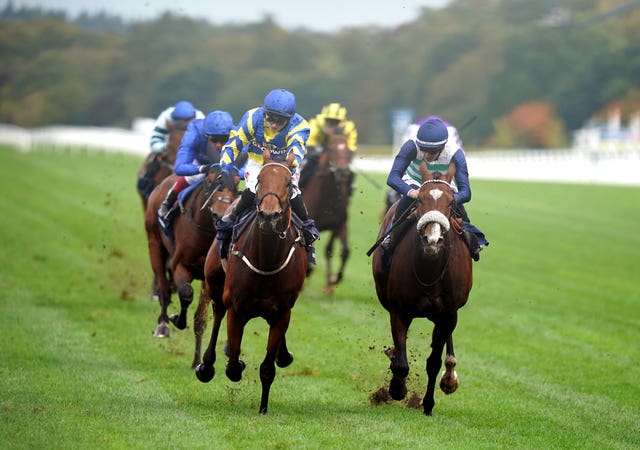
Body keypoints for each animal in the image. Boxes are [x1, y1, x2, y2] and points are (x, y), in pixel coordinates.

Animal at [144, 167, 240, 368]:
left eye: (236, 183)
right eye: (210, 181)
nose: (221, 213)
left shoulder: (209, 277)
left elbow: (201, 317)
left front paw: (197, 361)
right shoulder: (180, 265)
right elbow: (186, 294)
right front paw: (177, 320)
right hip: (154, 243)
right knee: (164, 288)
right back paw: (163, 324)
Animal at [196, 155, 308, 414]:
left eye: (288, 183)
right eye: (259, 180)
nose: (269, 215)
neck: (266, 260)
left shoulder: (282, 313)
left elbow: (267, 368)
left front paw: (263, 408)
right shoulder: (236, 309)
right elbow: (233, 365)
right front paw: (233, 363)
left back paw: (283, 355)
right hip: (216, 285)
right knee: (217, 314)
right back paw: (206, 366)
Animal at [302, 134, 352, 296]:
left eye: (348, 149)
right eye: (330, 148)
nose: (342, 171)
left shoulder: (339, 224)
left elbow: (341, 251)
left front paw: (334, 280)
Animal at [370, 161, 476, 414]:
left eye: (451, 203)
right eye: (419, 201)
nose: (432, 240)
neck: (430, 270)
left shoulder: (448, 313)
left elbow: (433, 362)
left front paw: (428, 404)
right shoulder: (399, 310)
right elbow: (401, 362)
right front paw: (397, 388)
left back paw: (450, 375)